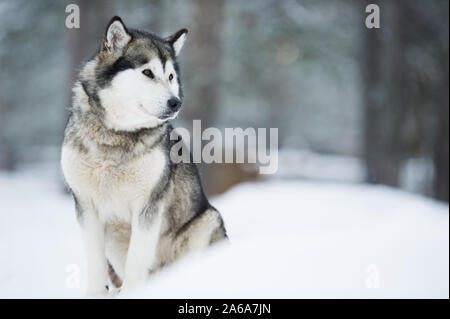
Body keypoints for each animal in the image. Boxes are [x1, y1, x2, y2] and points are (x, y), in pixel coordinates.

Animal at [60, 16, 225, 296]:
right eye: (147, 72)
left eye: (170, 76)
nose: (175, 102)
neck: (116, 135)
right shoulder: (85, 206)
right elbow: (95, 262)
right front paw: (97, 294)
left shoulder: (148, 205)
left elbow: (137, 260)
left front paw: (132, 293)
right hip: (114, 240)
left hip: (206, 221)